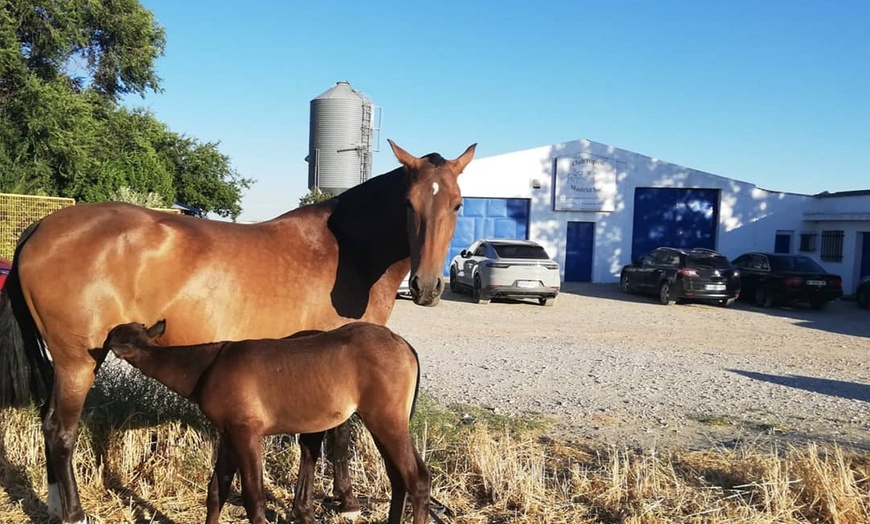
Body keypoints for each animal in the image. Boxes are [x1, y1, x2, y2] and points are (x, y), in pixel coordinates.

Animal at [104, 320, 429, 524]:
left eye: (110, 337)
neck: (207, 367)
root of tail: (405, 346)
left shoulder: (247, 433)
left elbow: (254, 499)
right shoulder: (228, 434)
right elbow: (217, 491)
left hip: (386, 420)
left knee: (417, 478)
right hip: (382, 423)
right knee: (399, 478)